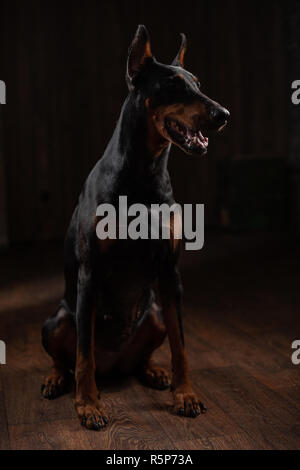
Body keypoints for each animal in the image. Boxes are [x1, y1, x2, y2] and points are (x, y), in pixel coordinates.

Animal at [41, 24, 229, 430]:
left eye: (198, 84)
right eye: (173, 86)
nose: (223, 114)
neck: (145, 170)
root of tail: (114, 367)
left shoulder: (171, 274)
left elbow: (181, 345)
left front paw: (185, 394)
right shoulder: (90, 274)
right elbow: (83, 354)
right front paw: (88, 405)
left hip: (154, 313)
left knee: (143, 355)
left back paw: (153, 371)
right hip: (57, 319)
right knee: (69, 356)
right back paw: (56, 379)